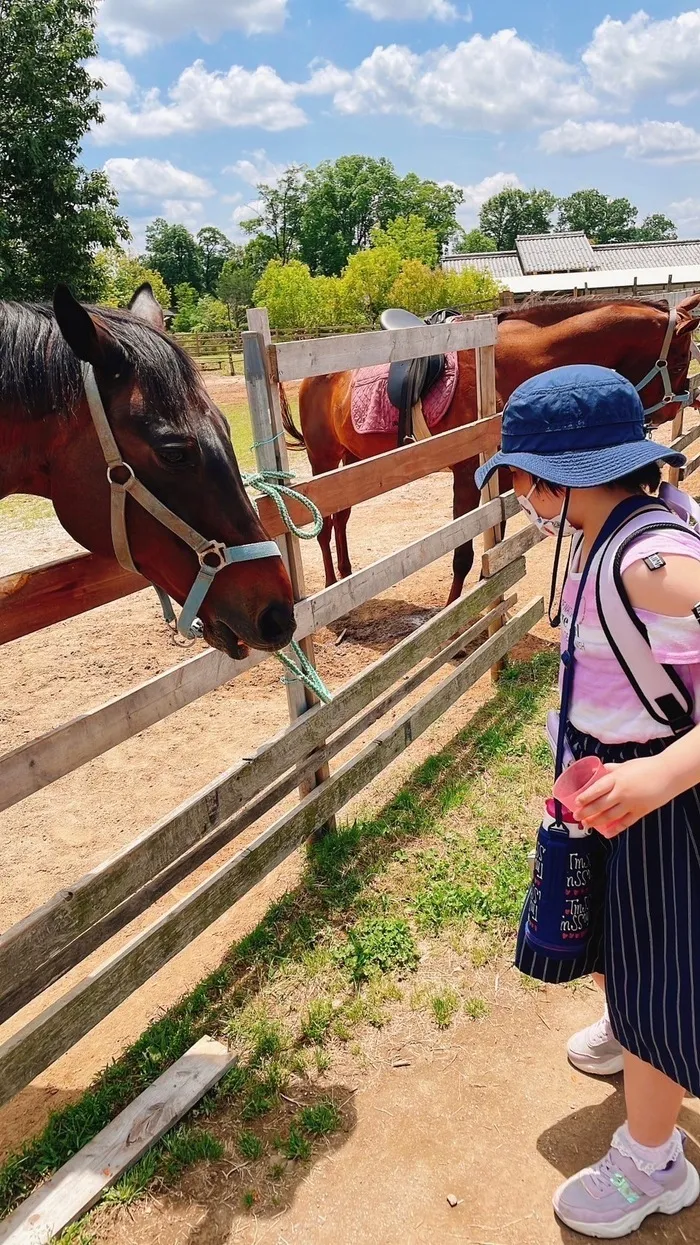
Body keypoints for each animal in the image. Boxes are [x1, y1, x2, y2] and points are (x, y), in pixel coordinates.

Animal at [280, 292, 697, 602]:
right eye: (680, 360)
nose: (677, 406)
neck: (504, 367)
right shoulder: (467, 476)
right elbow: (463, 555)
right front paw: (458, 625)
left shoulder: (504, 474)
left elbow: (495, 542)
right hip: (322, 462)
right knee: (323, 528)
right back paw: (332, 589)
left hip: (350, 464)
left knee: (341, 519)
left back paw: (344, 578)